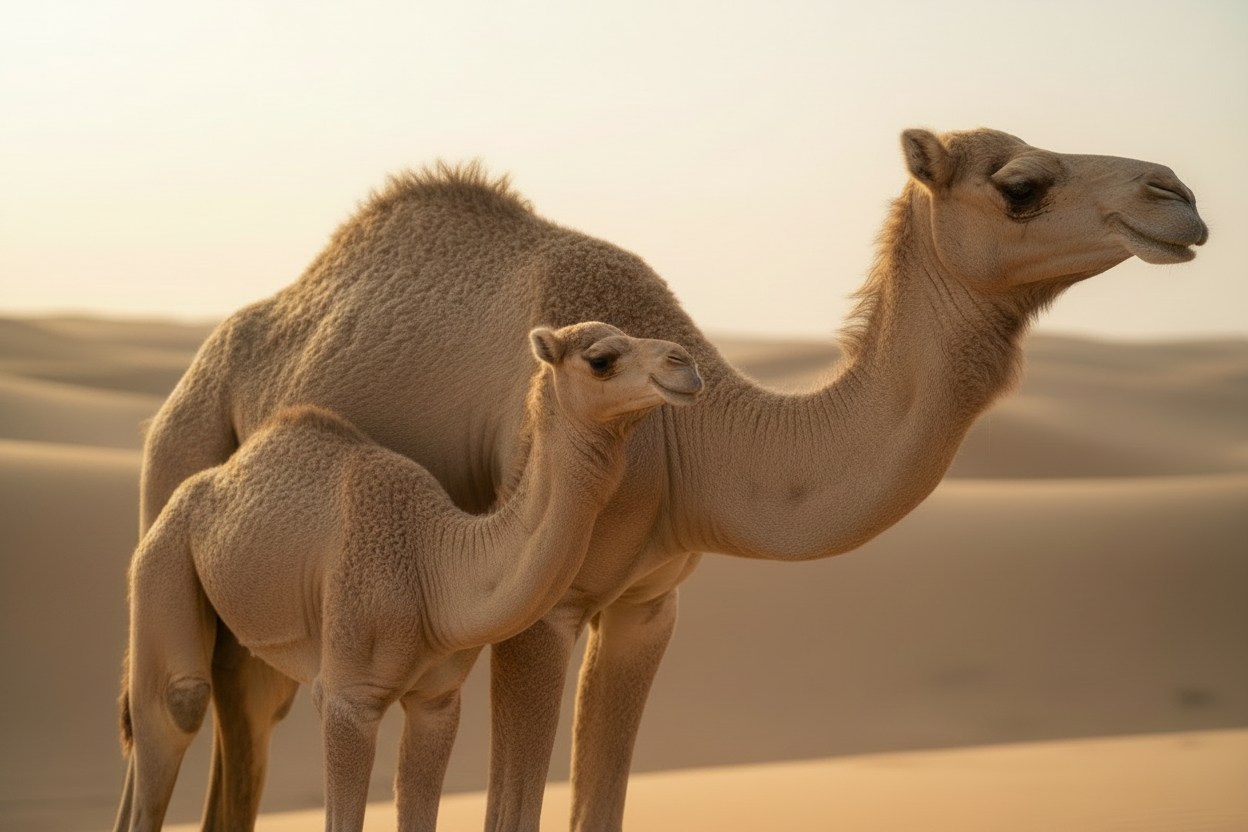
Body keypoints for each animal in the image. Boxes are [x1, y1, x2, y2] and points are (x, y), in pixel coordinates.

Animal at [114, 322, 703, 832]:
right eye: (601, 359)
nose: (687, 364)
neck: (433, 564)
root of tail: (205, 483)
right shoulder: (348, 698)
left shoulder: (438, 699)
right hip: (162, 553)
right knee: (176, 701)